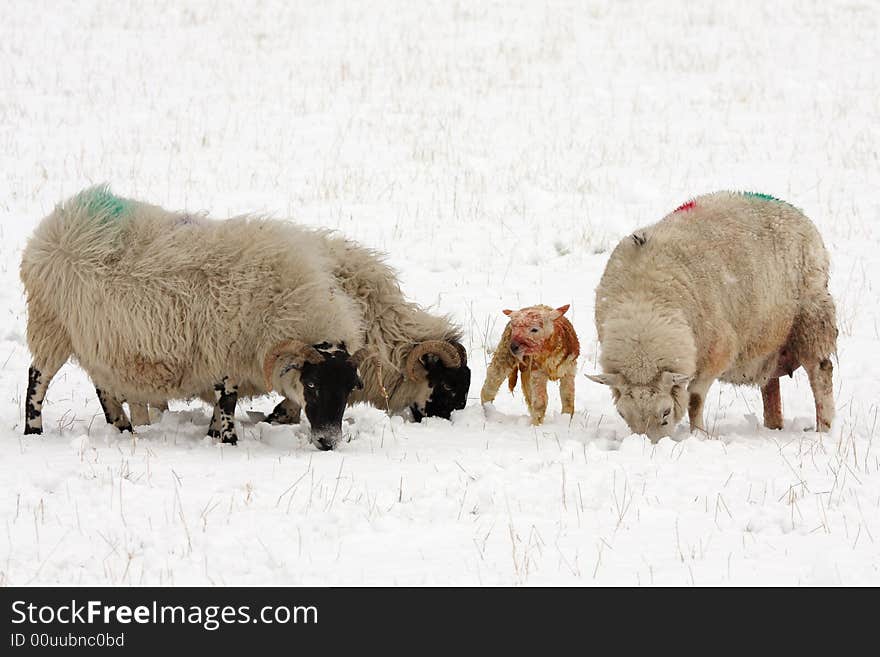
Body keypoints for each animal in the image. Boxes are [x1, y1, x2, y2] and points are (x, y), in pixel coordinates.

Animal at [20, 187, 364, 448]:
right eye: (312, 385)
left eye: (349, 388)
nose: (328, 443)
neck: (281, 303)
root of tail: (57, 220)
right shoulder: (224, 348)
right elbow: (227, 402)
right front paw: (228, 440)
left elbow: (222, 404)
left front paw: (213, 434)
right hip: (51, 324)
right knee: (38, 377)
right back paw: (34, 429)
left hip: (95, 336)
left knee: (103, 386)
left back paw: (123, 428)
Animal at [588, 192, 836, 444]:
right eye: (623, 414)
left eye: (665, 412)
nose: (651, 446)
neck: (644, 305)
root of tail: (794, 211)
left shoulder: (716, 353)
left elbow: (694, 399)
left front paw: (698, 434)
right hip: (769, 338)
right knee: (770, 385)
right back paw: (773, 427)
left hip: (812, 317)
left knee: (821, 373)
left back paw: (823, 429)